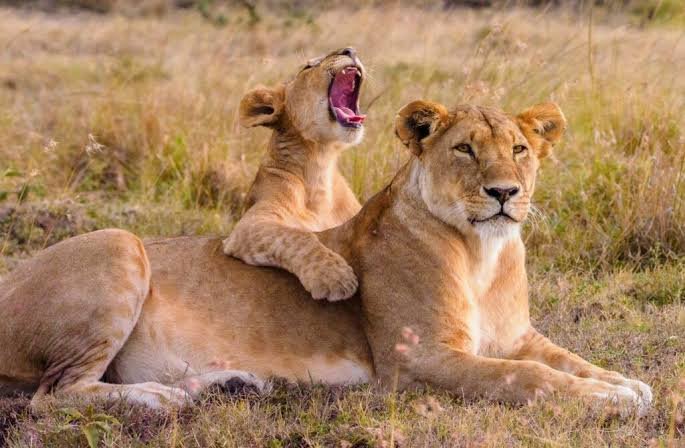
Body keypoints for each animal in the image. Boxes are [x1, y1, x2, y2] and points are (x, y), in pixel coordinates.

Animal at [0, 100, 651, 416]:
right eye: (465, 149)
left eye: (519, 149)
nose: (504, 193)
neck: (482, 254)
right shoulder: (417, 360)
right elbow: (524, 376)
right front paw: (606, 400)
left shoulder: (517, 335)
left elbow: (568, 360)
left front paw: (625, 384)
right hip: (119, 243)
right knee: (55, 393)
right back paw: (158, 400)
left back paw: (222, 385)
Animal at [222, 47, 365, 301]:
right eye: (308, 67)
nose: (350, 49)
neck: (321, 164)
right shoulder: (247, 226)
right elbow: (298, 237)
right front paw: (334, 276)